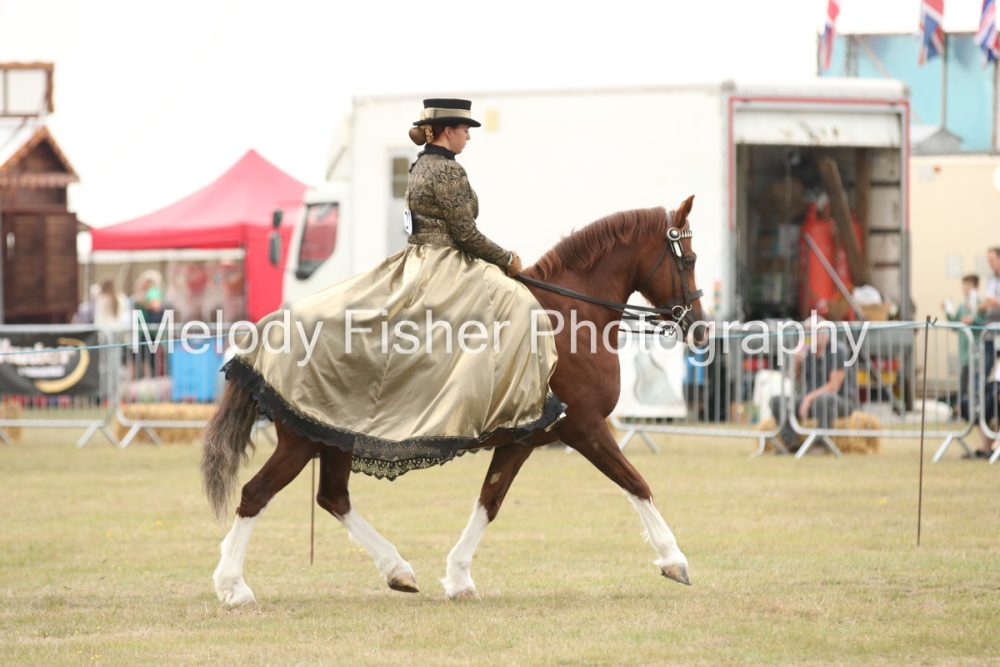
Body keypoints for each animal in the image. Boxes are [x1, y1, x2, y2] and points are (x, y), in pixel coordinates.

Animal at [202, 196, 705, 606]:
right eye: (691, 259)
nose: (700, 327)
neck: (569, 318)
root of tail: (271, 329)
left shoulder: (522, 439)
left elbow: (489, 500)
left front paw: (459, 577)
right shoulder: (585, 426)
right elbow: (636, 482)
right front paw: (674, 559)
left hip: (333, 437)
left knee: (333, 497)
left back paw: (398, 570)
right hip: (302, 441)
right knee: (256, 494)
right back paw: (233, 586)